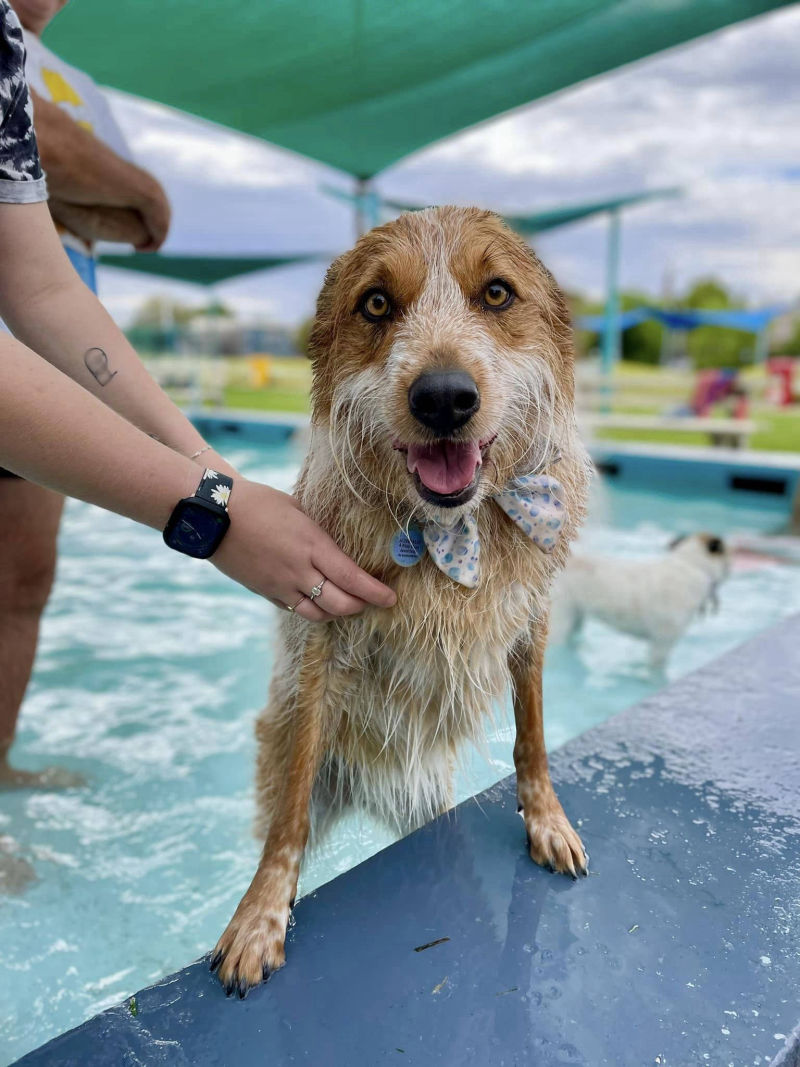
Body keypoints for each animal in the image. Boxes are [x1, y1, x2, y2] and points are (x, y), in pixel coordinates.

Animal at [213, 205, 597, 990]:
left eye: (497, 293)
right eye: (377, 304)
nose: (444, 396)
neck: (451, 533)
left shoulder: (531, 619)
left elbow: (534, 733)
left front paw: (546, 819)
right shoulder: (322, 636)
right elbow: (289, 816)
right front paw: (261, 912)